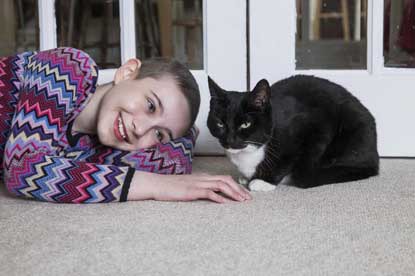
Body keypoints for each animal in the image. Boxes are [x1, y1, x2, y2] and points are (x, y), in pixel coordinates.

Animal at [208, 75, 380, 192]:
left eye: (245, 124)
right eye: (220, 123)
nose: (230, 140)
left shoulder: (315, 126)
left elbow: (290, 158)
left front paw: (264, 181)